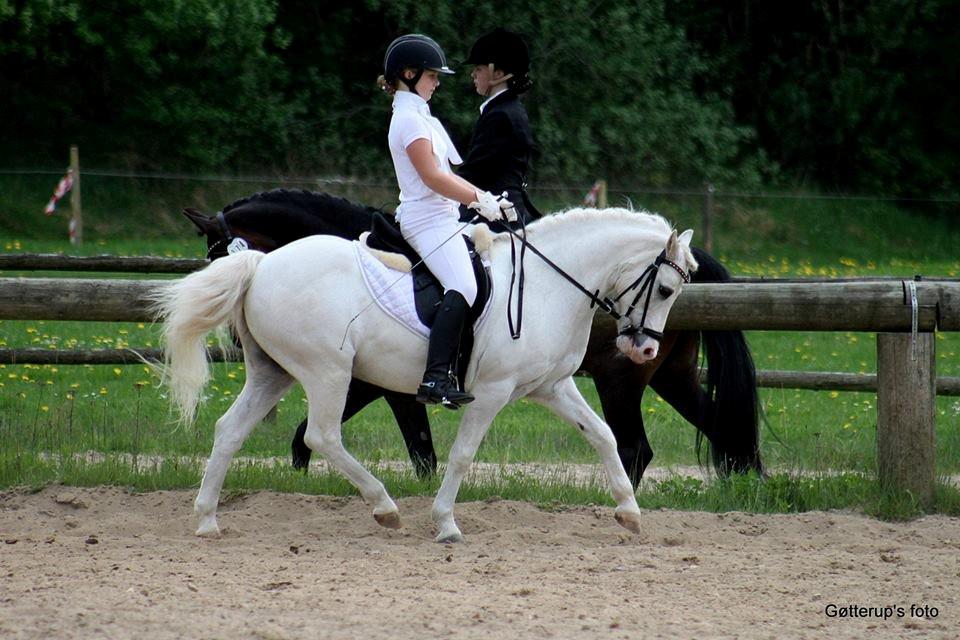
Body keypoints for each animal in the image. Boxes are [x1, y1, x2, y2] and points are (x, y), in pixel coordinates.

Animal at [153, 208, 697, 541]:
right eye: (666, 289)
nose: (645, 348)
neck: (546, 283)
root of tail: (262, 264)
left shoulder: (551, 387)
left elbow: (602, 435)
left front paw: (629, 512)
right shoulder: (492, 393)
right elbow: (461, 455)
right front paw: (446, 523)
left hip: (275, 373)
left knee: (230, 430)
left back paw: (207, 521)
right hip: (327, 371)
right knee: (322, 436)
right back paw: (384, 506)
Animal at [183, 189, 762, 484]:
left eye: (668, 290)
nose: (642, 344)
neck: (551, 277)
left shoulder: (380, 385)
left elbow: (413, 449)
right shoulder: (383, 383)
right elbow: (407, 449)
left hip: (623, 378)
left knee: (637, 446)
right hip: (665, 375)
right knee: (712, 425)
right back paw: (744, 483)